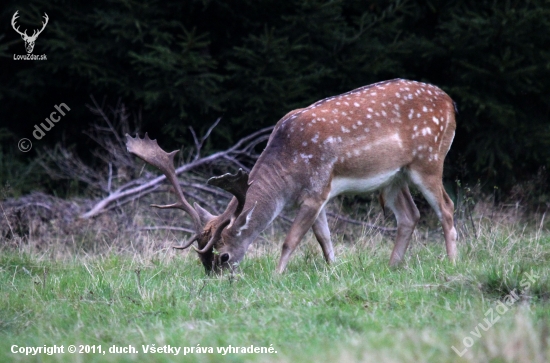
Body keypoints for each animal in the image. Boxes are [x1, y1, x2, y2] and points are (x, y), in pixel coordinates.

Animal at [127, 79, 460, 272]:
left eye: (222, 257)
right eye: (201, 259)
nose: (217, 279)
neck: (288, 171)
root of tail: (450, 102)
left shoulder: (316, 190)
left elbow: (290, 240)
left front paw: (277, 275)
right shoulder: (318, 195)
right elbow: (324, 238)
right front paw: (334, 271)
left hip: (429, 159)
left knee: (446, 207)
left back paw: (451, 263)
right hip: (393, 178)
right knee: (410, 215)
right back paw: (391, 268)